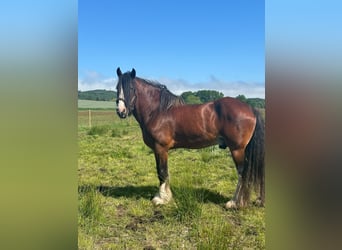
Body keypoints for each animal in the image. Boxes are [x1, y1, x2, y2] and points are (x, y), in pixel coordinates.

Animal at [115, 67, 264, 208]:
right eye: (117, 88)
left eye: (131, 88)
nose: (121, 111)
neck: (157, 112)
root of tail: (251, 108)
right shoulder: (157, 150)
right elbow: (161, 172)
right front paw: (164, 196)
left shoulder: (161, 148)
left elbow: (162, 172)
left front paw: (162, 199)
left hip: (237, 149)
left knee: (242, 173)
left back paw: (235, 202)